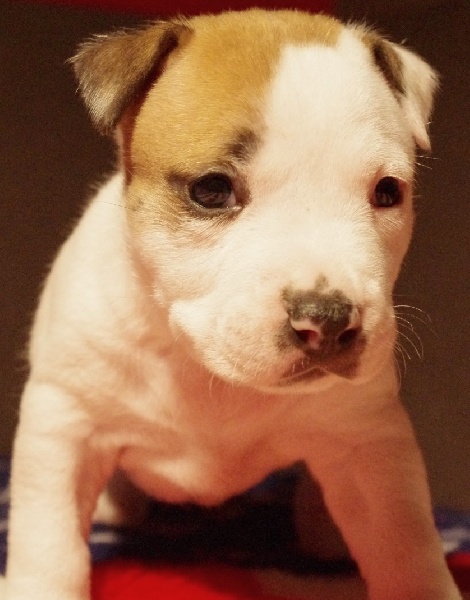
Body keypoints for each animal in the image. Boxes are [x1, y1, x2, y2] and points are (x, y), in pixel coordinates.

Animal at [4, 9, 462, 600]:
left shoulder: (370, 448)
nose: (328, 321)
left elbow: (405, 543)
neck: (200, 369)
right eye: (211, 190)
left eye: (388, 192)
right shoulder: (61, 423)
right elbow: (49, 541)